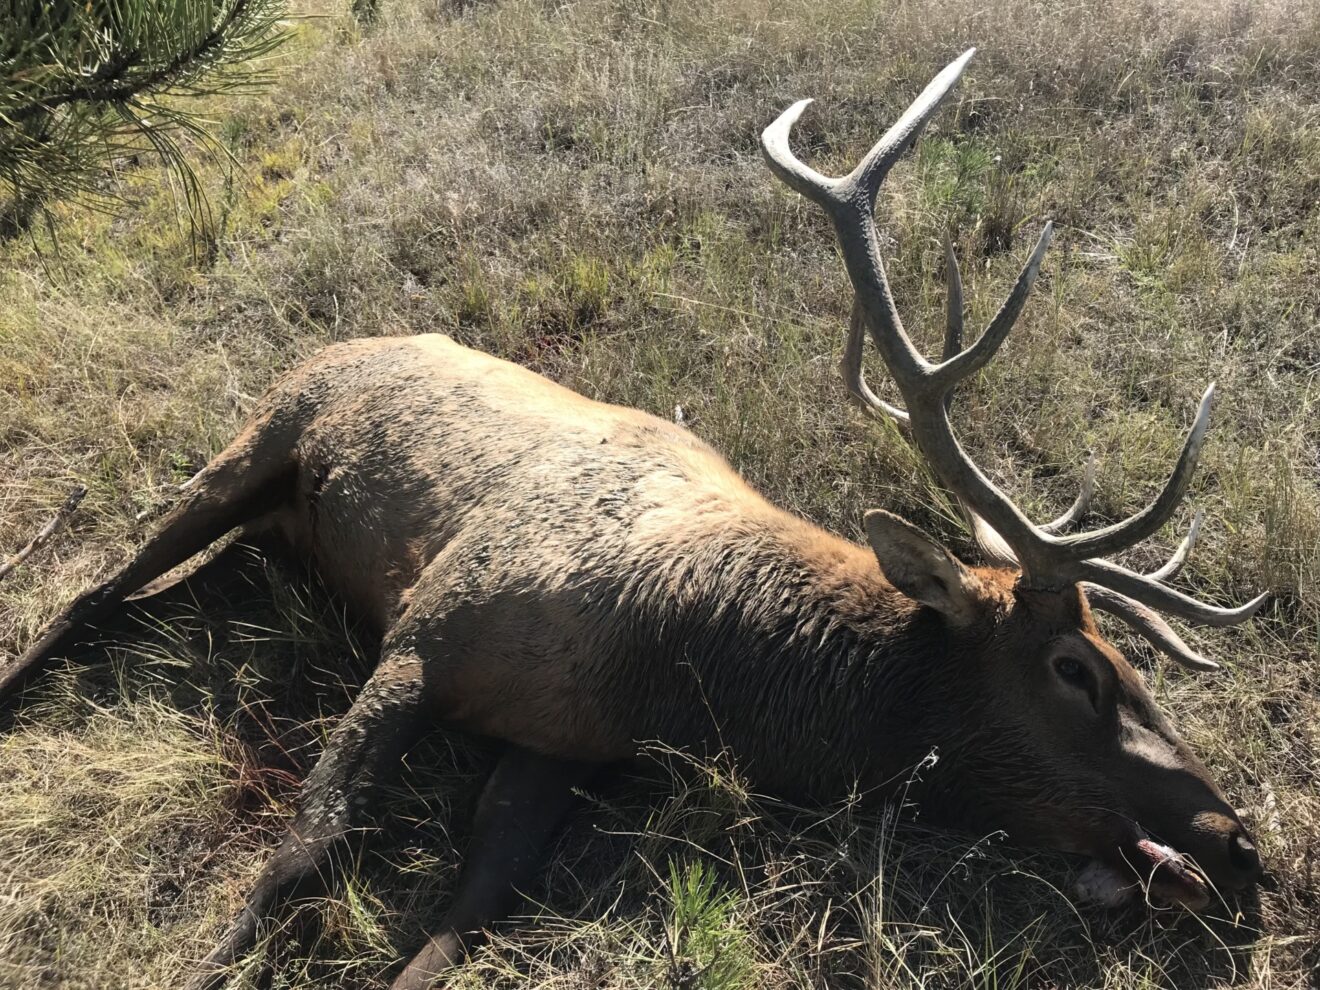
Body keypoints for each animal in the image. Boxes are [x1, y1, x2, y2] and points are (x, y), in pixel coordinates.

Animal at [1, 48, 1269, 990]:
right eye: (1077, 670)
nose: (1239, 841)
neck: (674, 668)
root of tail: (344, 342)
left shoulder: (556, 749)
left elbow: (462, 924)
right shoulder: (425, 634)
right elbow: (303, 847)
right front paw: (207, 962)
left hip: (279, 530)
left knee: (167, 590)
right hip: (254, 445)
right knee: (93, 592)